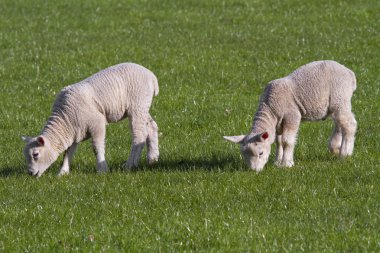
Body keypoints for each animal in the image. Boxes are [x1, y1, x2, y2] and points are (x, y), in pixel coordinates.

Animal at [22, 62, 159, 177]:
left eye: (35, 154)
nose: (30, 173)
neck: (64, 119)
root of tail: (151, 75)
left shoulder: (97, 123)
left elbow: (96, 147)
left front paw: (102, 170)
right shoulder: (74, 131)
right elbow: (68, 152)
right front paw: (63, 172)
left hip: (137, 106)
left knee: (139, 135)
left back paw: (130, 165)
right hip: (142, 107)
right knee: (152, 126)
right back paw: (153, 158)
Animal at [223, 60, 356, 171]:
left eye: (260, 153)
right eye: (244, 155)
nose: (254, 171)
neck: (270, 107)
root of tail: (349, 73)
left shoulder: (292, 117)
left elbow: (287, 141)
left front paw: (287, 164)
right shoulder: (278, 124)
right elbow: (278, 142)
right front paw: (277, 162)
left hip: (340, 98)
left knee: (349, 124)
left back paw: (345, 153)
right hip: (335, 105)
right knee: (340, 123)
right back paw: (335, 147)